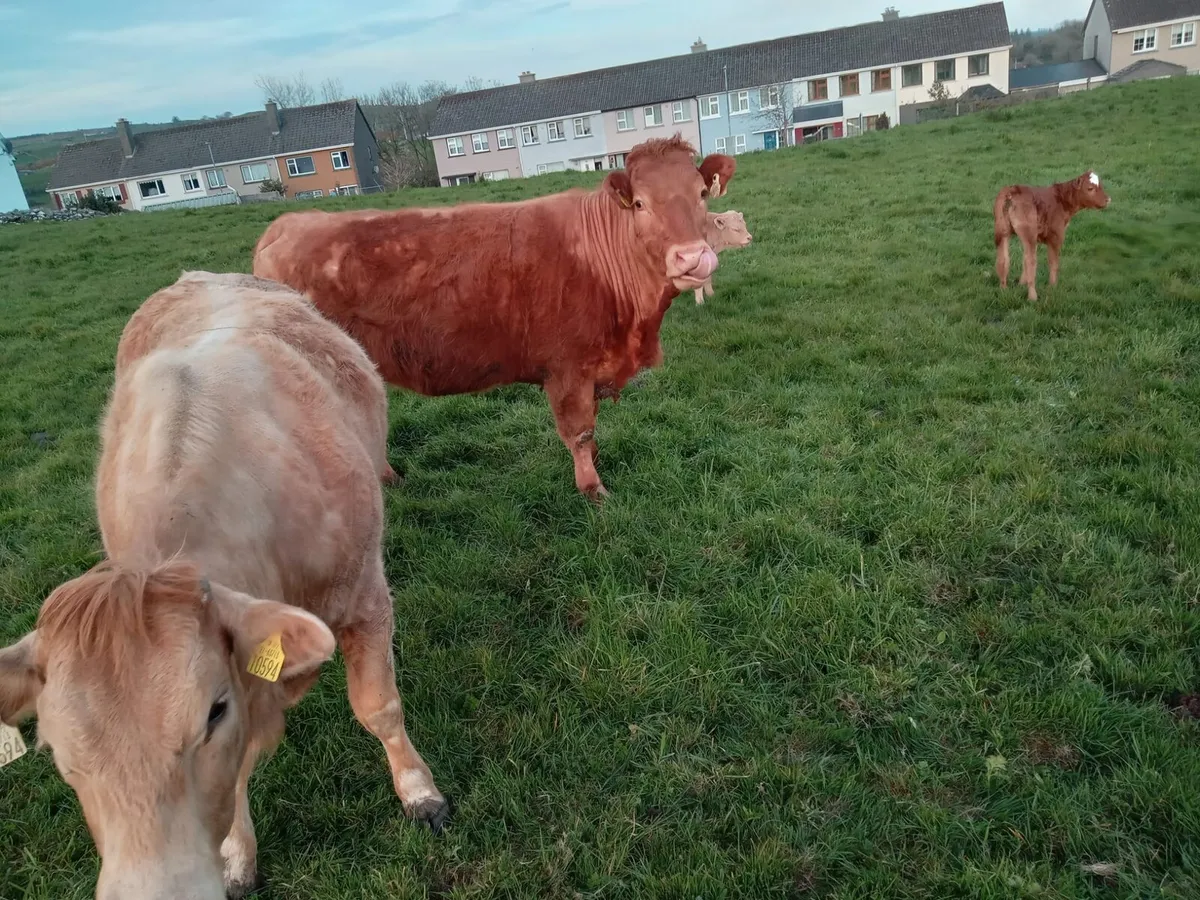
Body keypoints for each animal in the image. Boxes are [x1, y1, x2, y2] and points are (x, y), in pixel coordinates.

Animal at [0, 272, 447, 900]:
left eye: (213, 712)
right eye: (58, 755)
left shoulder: (363, 596)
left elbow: (378, 707)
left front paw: (419, 792)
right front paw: (237, 856)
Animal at [252, 135, 737, 499]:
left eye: (701, 195)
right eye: (640, 204)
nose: (692, 258)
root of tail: (286, 224)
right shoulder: (568, 369)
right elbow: (579, 433)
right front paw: (593, 489)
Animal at [994, 170, 1111, 301]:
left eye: (1101, 185)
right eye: (1090, 188)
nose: (1108, 199)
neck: (1062, 200)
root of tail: (1011, 190)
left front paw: (1021, 284)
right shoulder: (1056, 235)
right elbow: (1053, 262)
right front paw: (1053, 286)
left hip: (1002, 231)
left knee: (1003, 260)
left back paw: (1003, 289)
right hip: (1028, 233)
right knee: (1030, 261)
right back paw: (1032, 296)